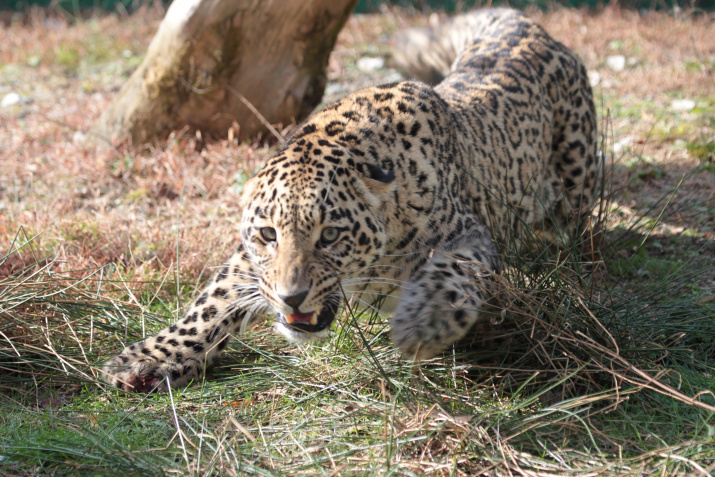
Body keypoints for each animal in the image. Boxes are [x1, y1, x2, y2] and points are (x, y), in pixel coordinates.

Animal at [103, 9, 600, 392]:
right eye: (268, 234)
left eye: (331, 236)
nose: (292, 298)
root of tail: (521, 23)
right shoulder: (250, 261)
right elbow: (210, 302)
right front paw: (149, 359)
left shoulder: (470, 236)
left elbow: (451, 274)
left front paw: (421, 322)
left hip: (577, 166)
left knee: (574, 225)